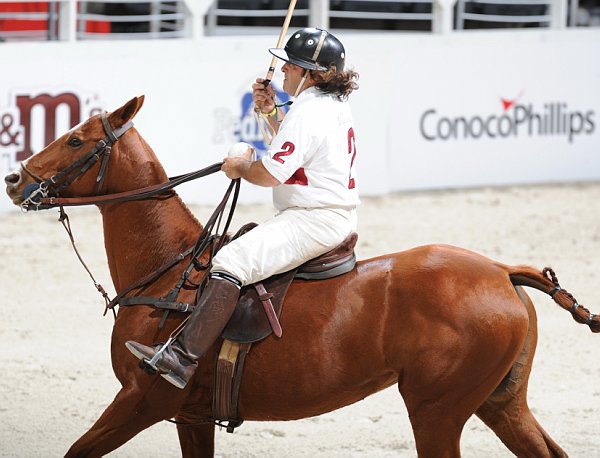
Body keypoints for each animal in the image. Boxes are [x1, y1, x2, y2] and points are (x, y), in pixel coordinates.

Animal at [5, 95, 600, 454]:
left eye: (75, 140)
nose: (15, 180)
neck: (168, 269)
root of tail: (502, 271)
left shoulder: (144, 398)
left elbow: (78, 448)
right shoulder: (191, 416)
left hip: (438, 410)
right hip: (500, 402)